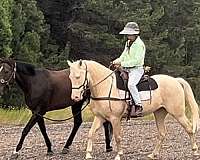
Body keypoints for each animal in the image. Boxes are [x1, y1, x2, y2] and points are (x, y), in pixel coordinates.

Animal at [68, 60, 199, 160]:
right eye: (70, 77)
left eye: (78, 76)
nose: (75, 97)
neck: (106, 86)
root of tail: (175, 80)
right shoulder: (100, 117)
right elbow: (91, 133)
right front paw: (88, 154)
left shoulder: (115, 119)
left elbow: (117, 136)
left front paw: (118, 155)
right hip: (159, 113)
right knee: (162, 133)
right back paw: (153, 154)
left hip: (178, 113)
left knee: (189, 128)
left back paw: (195, 151)